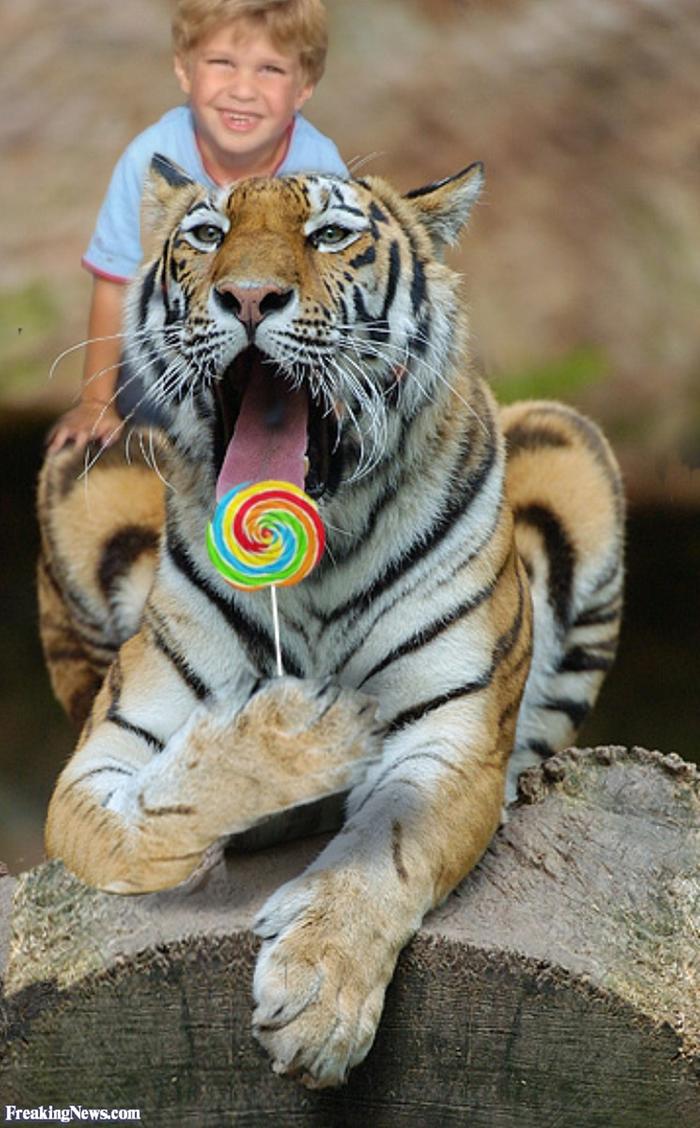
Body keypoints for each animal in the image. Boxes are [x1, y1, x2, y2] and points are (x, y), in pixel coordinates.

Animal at [38, 155, 624, 1088]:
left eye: (330, 235)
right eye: (207, 235)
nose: (246, 297)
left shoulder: (450, 737)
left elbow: (386, 851)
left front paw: (317, 1000)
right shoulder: (107, 752)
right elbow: (127, 833)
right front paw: (298, 743)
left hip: (569, 440)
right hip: (80, 462)